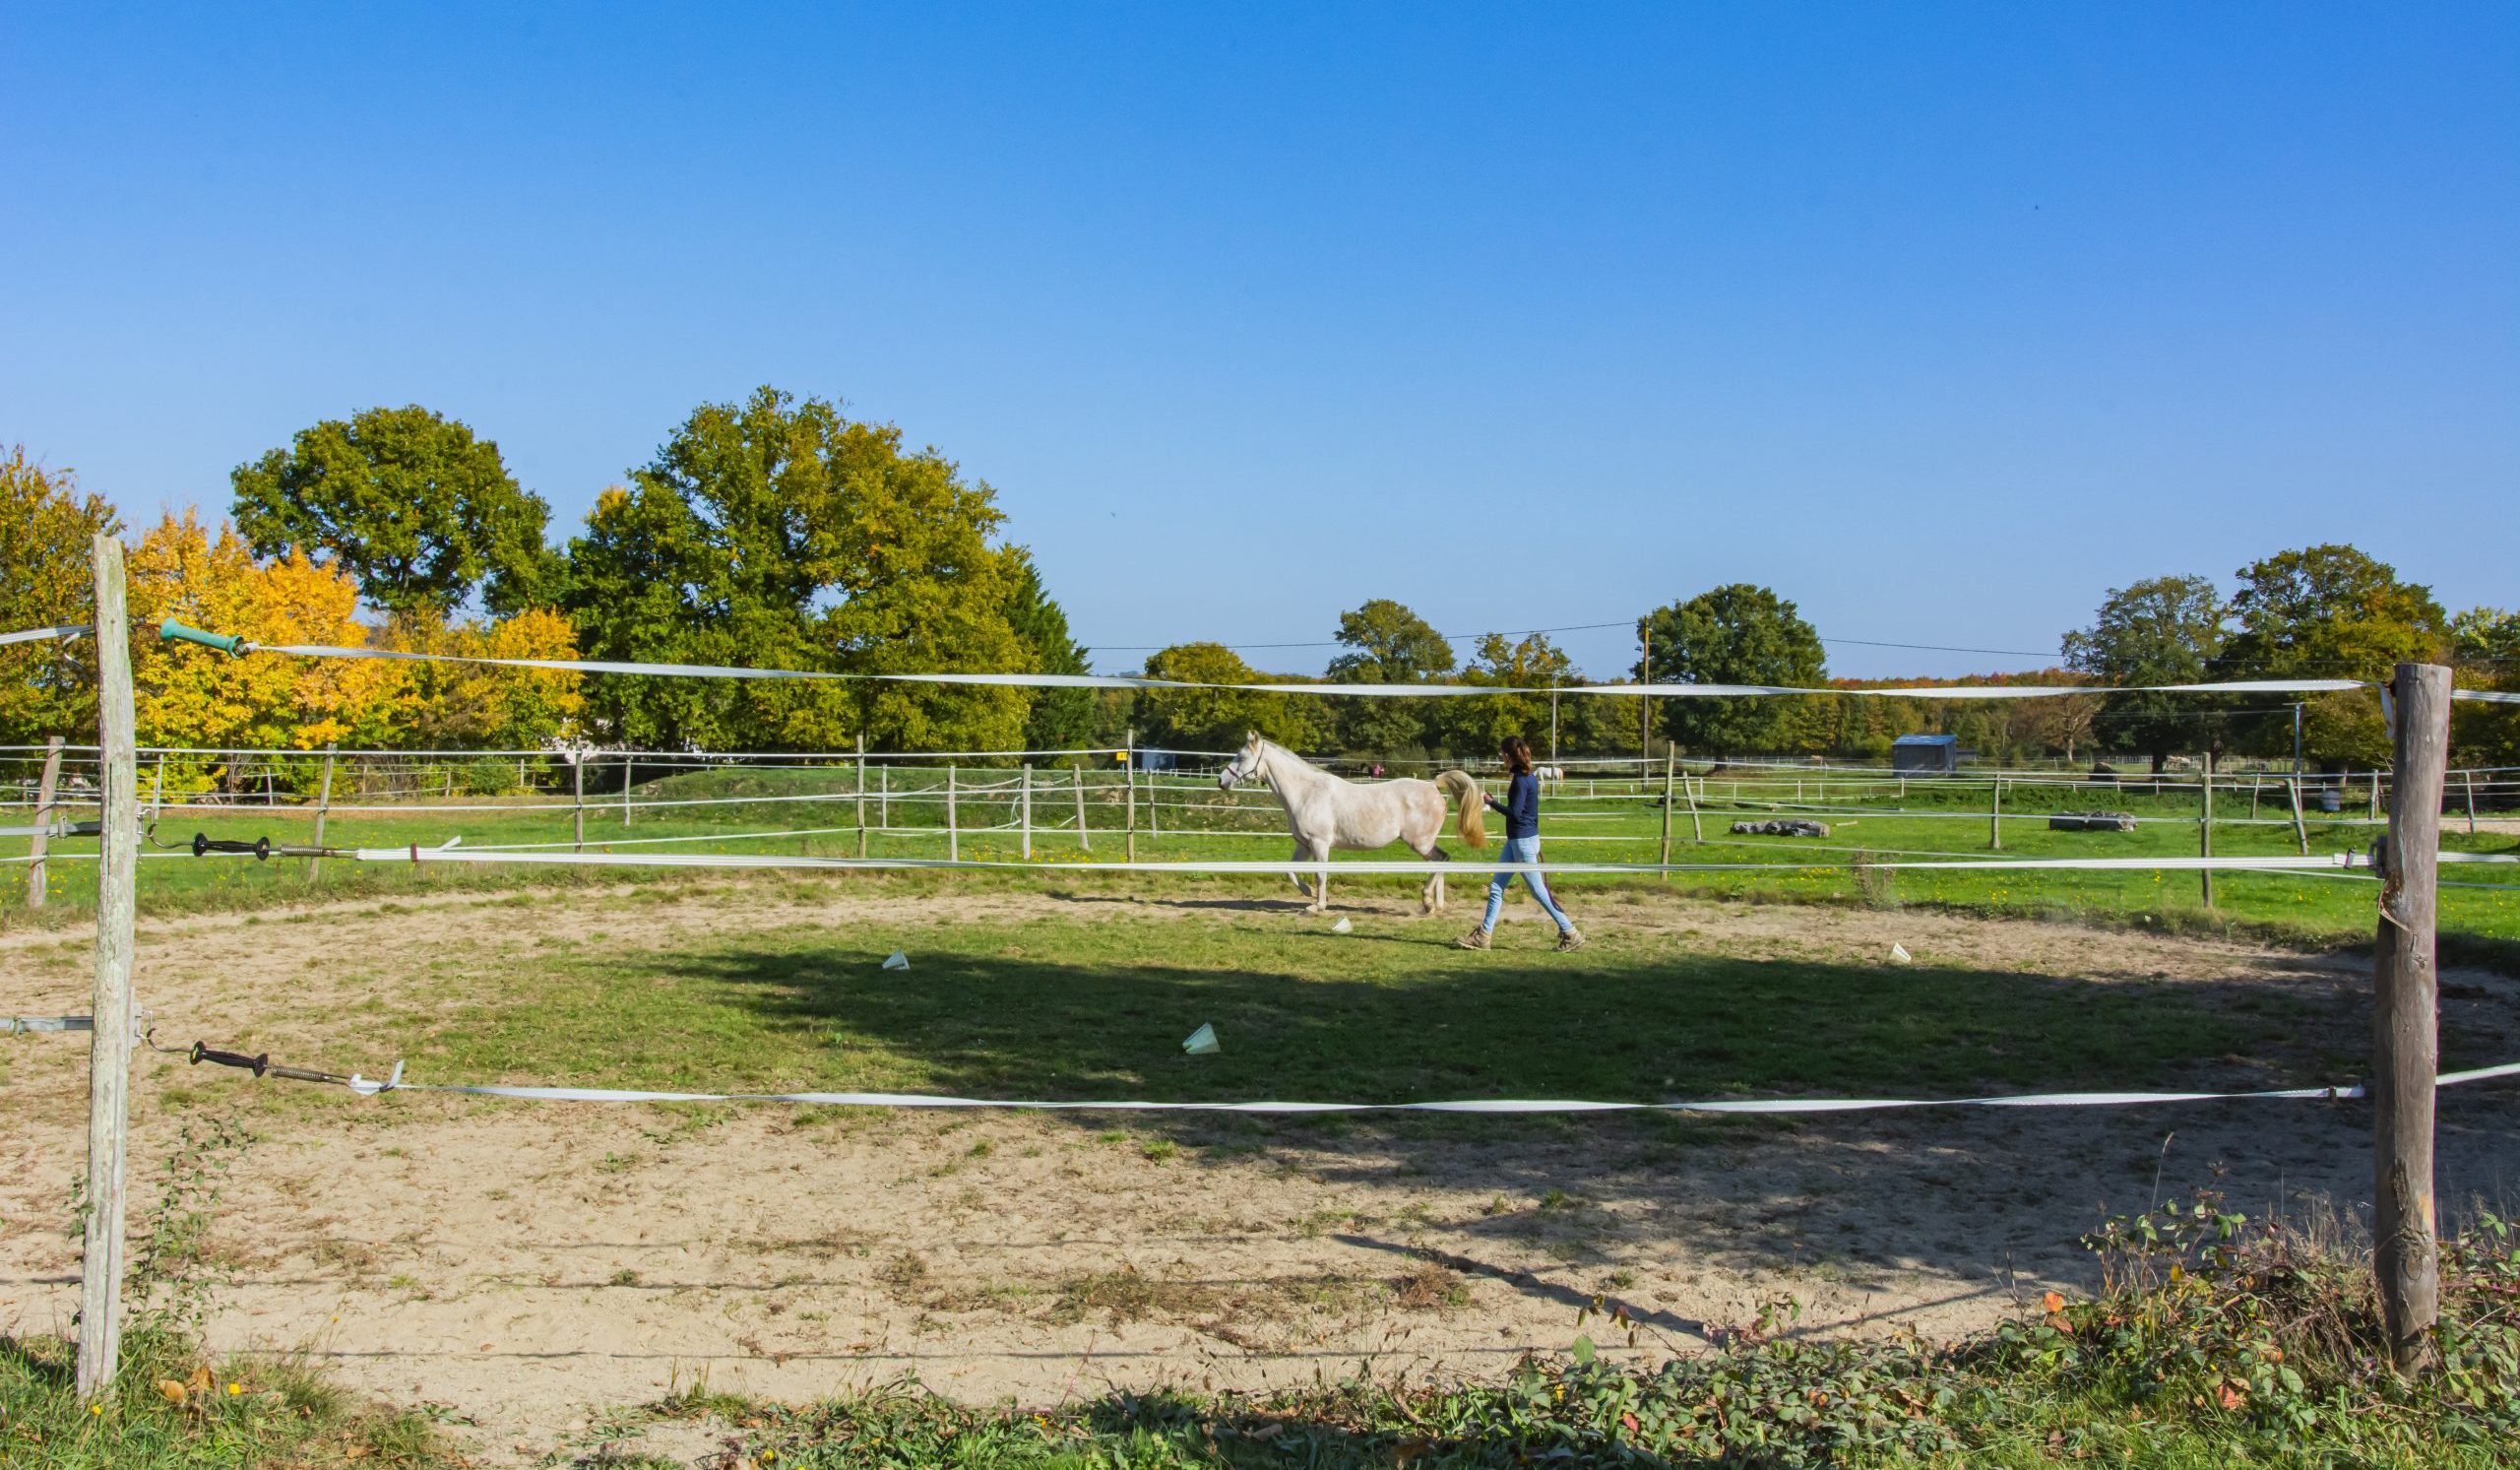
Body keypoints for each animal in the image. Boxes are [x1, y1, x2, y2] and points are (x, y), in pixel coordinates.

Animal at [1217, 733, 1486, 913]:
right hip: (1424, 844)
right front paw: (1309, 894)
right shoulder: (1304, 845)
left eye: (1241, 756)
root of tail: (1433, 785)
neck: (1306, 792)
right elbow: (1290, 871)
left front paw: (1318, 905)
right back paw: (1434, 906)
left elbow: (1321, 875)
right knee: (1439, 863)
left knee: (1442, 860)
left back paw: (1428, 901)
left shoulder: (1320, 843)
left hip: (1420, 843)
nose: (1221, 781)